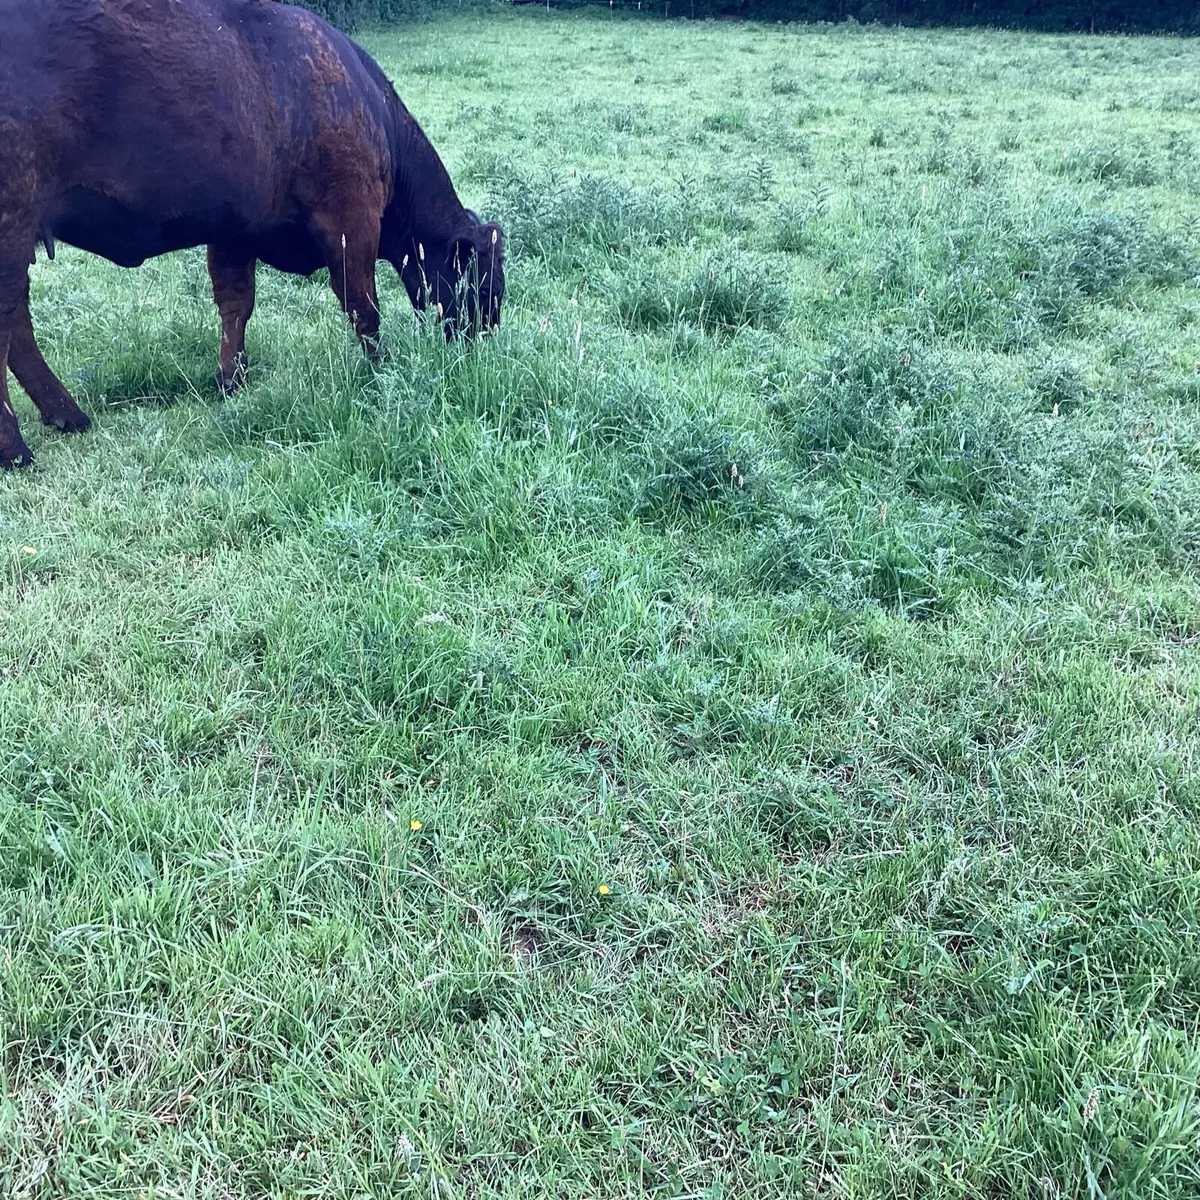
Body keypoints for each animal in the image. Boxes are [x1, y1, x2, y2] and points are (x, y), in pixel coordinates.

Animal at [0, 0, 505, 468]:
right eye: (487, 285)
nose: (484, 344)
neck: (370, 108)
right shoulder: (351, 217)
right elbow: (364, 307)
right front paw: (380, 370)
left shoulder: (232, 232)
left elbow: (235, 305)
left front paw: (232, 379)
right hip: (13, 221)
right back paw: (16, 448)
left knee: (18, 327)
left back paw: (67, 415)